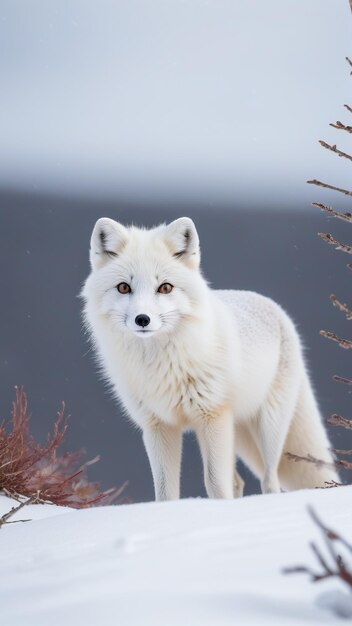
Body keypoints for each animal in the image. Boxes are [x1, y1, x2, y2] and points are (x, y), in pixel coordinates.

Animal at [82, 214, 338, 498]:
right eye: (124, 287)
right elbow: (165, 491)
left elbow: (215, 483)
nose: (142, 319)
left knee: (269, 480)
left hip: (267, 428)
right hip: (238, 434)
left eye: (165, 287)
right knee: (238, 481)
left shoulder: (212, 417)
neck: (162, 363)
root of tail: (275, 308)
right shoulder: (158, 425)